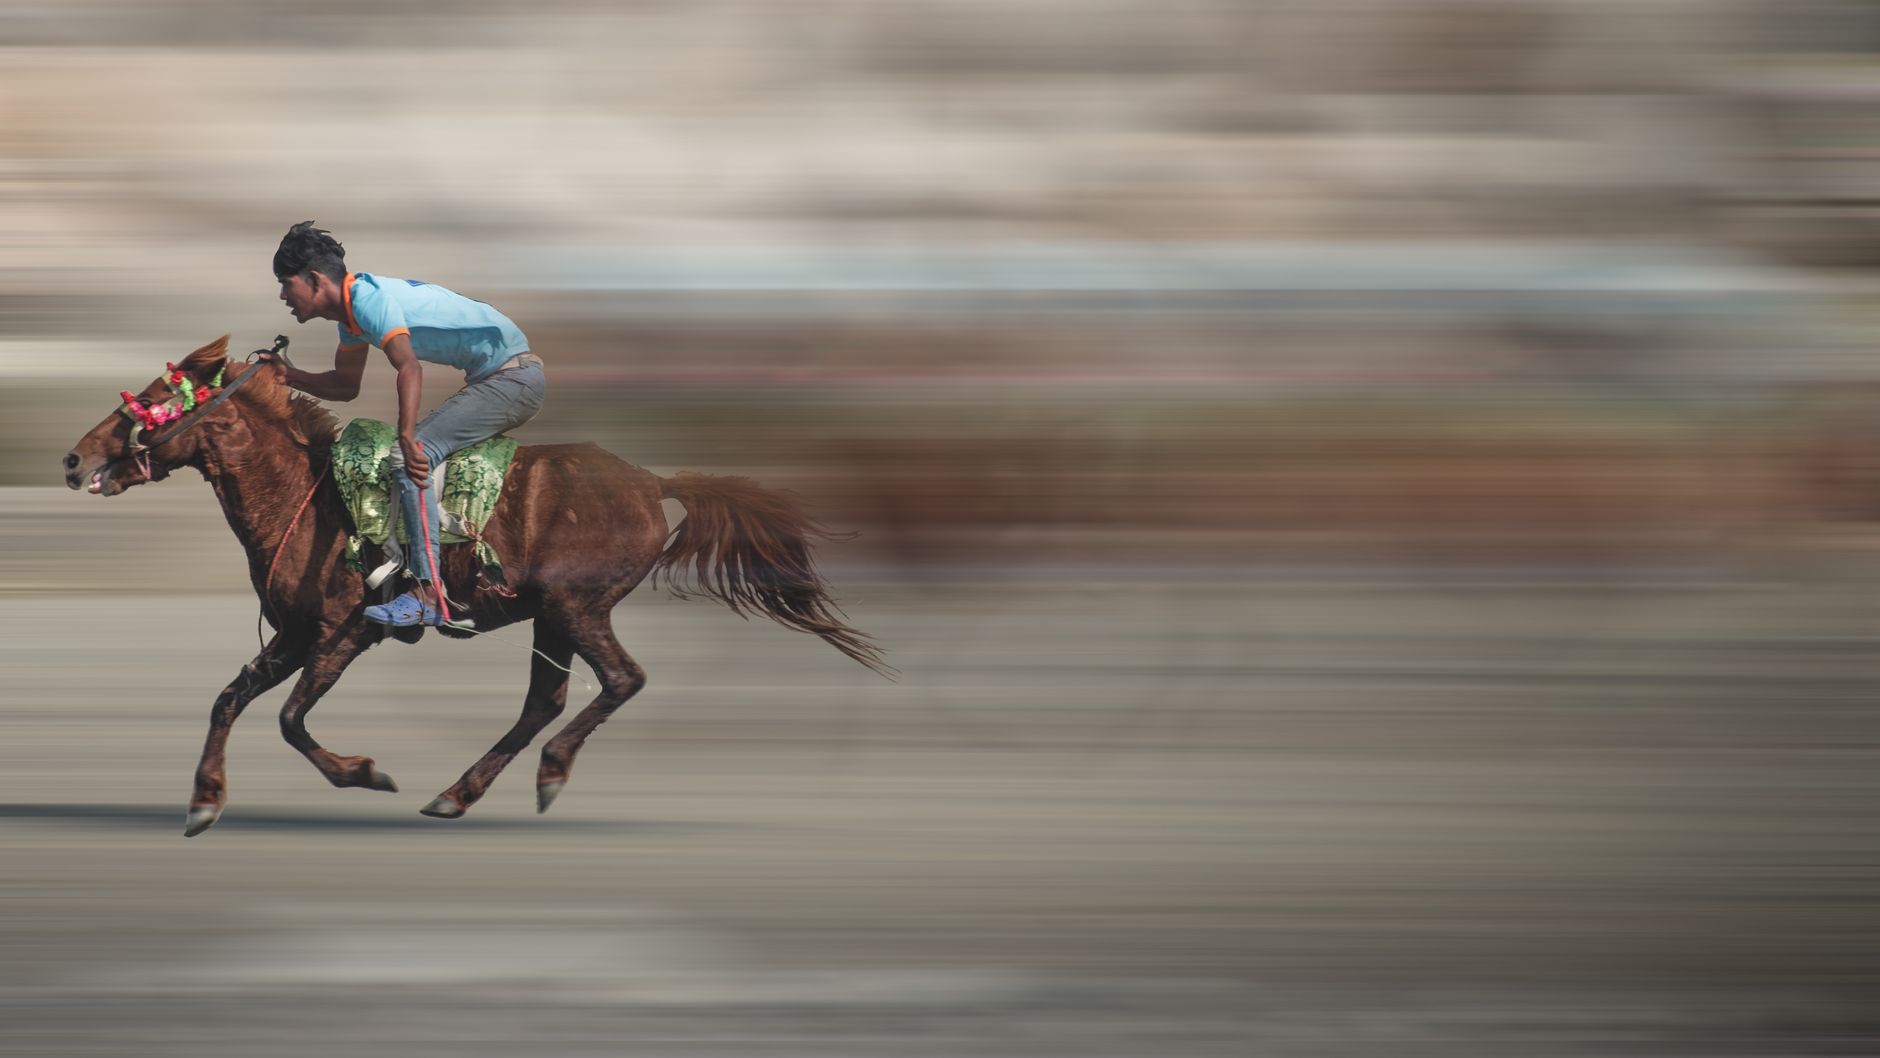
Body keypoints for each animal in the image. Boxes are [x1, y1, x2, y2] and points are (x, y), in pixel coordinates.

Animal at [62, 336, 888, 837]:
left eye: (149, 399)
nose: (74, 458)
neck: (305, 493)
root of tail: (654, 482)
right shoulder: (295, 633)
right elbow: (228, 700)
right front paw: (204, 802)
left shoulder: (345, 631)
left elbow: (293, 720)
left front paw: (366, 773)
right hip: (551, 615)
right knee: (545, 700)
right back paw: (458, 792)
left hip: (576, 605)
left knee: (620, 680)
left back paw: (545, 774)